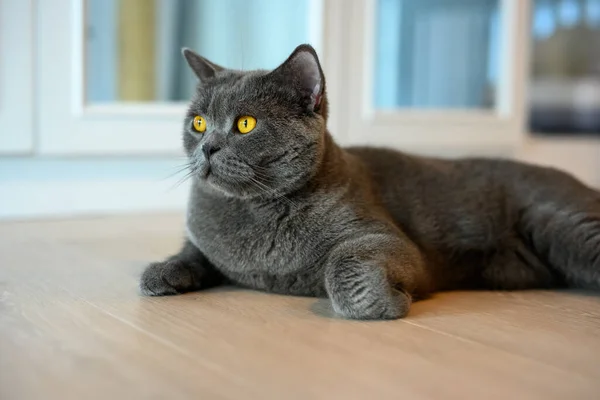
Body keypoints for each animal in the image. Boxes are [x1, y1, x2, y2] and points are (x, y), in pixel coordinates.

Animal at [139, 44, 600, 318]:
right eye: (198, 122)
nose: (207, 148)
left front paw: (385, 302)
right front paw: (161, 272)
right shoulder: (204, 242)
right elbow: (190, 253)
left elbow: (343, 264)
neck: (250, 212)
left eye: (245, 124)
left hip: (565, 225)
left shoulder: (384, 238)